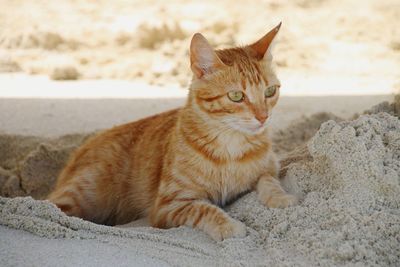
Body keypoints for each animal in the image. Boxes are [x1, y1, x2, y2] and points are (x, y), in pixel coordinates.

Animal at [47, 22, 296, 242]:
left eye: (270, 91)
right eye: (236, 96)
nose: (263, 117)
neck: (230, 147)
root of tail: (80, 149)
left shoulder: (269, 169)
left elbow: (268, 181)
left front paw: (281, 198)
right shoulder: (169, 205)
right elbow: (204, 209)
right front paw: (228, 226)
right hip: (82, 194)